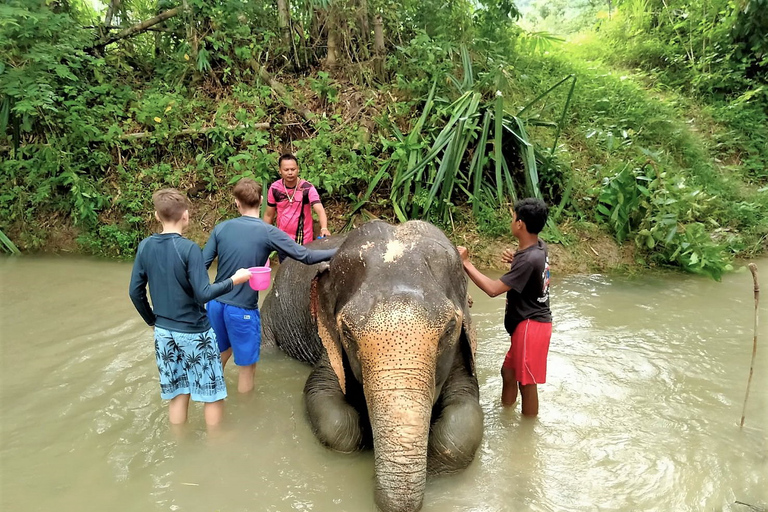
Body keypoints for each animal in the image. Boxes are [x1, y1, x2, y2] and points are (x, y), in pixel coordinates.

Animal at [260, 220, 484, 512]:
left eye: (449, 328)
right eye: (346, 332)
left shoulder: (460, 352)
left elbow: (465, 416)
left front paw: (433, 470)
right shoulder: (329, 344)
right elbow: (325, 404)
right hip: (268, 315)